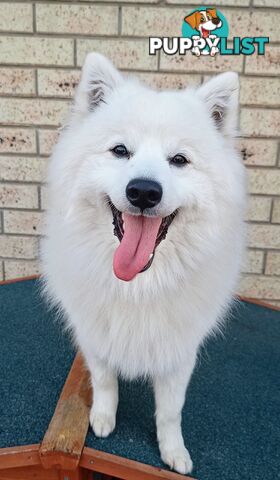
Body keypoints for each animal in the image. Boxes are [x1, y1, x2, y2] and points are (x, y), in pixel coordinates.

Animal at [40, 53, 246, 476]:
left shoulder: (178, 352)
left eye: (179, 160)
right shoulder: (96, 336)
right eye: (120, 151)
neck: (138, 285)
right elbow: (105, 382)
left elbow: (170, 411)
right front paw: (102, 418)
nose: (144, 192)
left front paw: (173, 452)